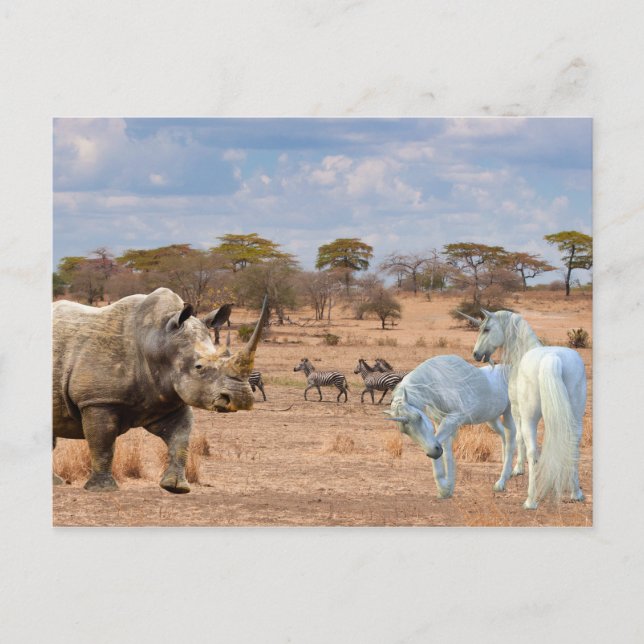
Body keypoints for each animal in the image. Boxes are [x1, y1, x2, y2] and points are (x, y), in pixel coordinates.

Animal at [52, 288, 267, 493]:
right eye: (199, 367)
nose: (241, 398)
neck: (157, 340)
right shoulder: (98, 399)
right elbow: (103, 443)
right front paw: (102, 489)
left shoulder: (168, 398)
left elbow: (181, 438)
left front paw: (176, 487)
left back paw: (56, 483)